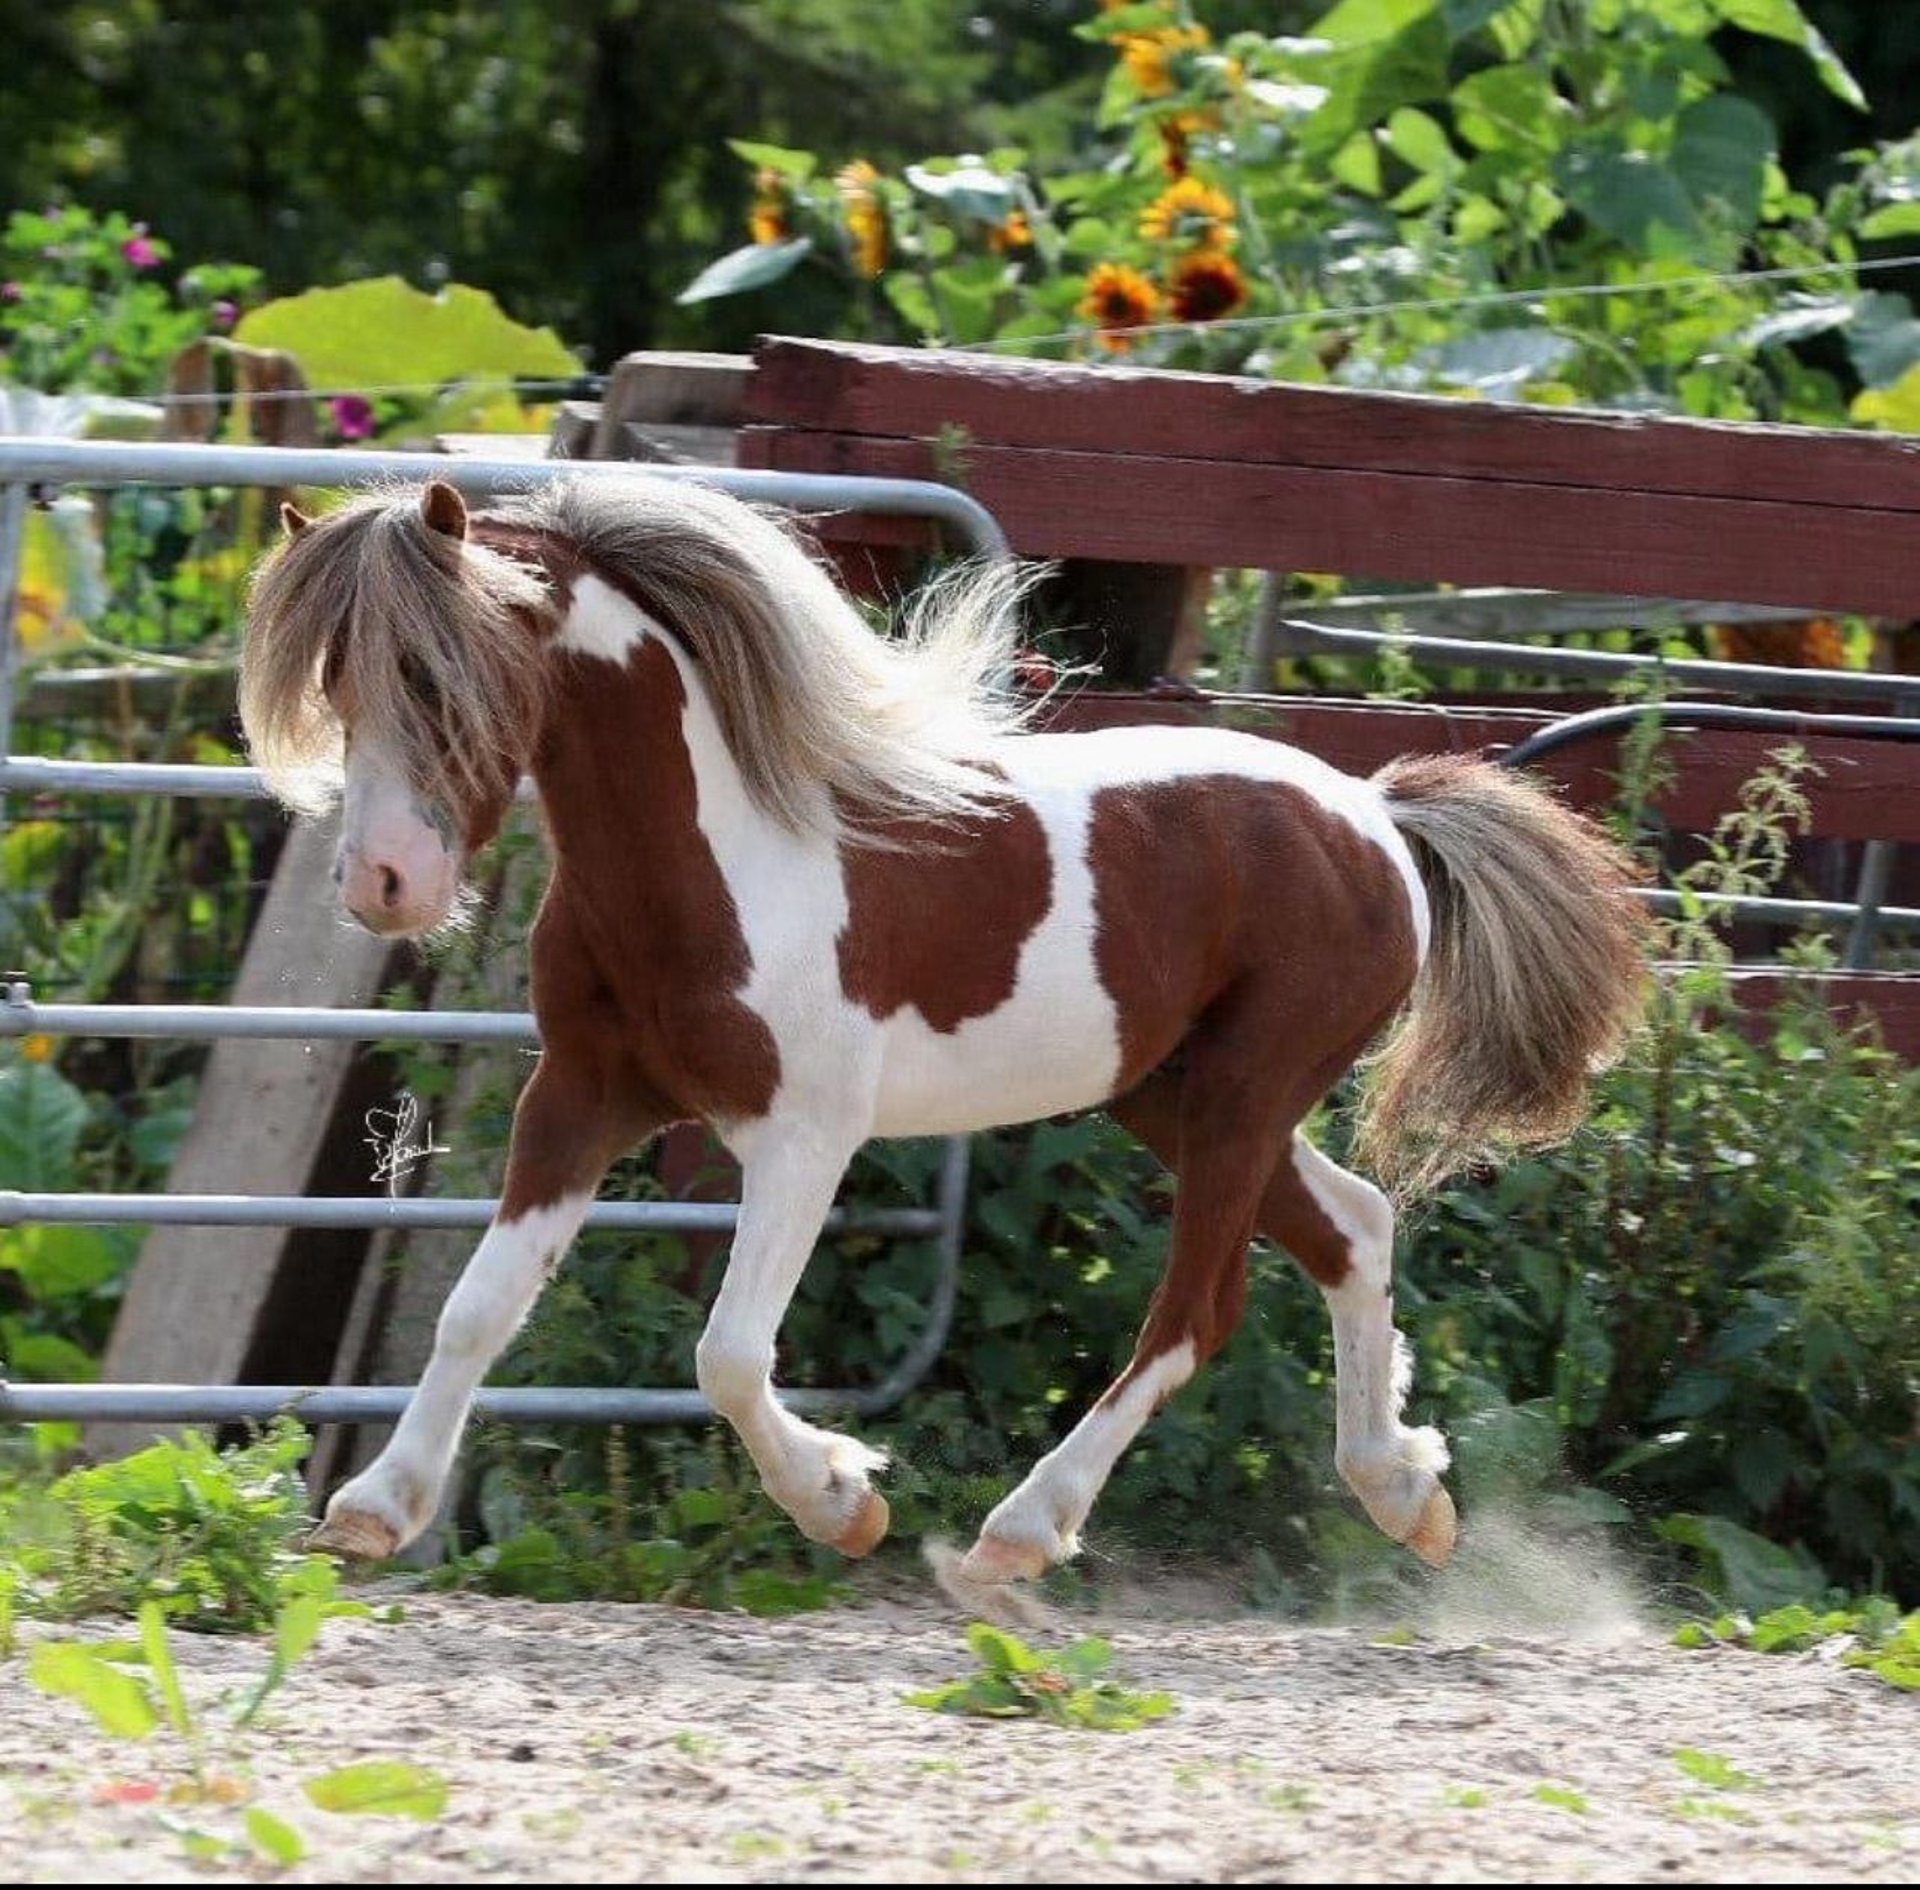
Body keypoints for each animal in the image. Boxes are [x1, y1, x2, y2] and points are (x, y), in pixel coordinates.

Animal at [239, 474, 1648, 1593]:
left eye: (440, 672)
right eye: (337, 683)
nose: (384, 884)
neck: (715, 861)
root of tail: (1376, 815)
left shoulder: (804, 1136)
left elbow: (728, 1353)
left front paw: (844, 1501)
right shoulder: (581, 1098)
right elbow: (479, 1310)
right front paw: (372, 1512)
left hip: (1244, 1095)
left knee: (1197, 1310)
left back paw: (1020, 1533)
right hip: (1176, 1093)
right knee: (1354, 1226)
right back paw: (1406, 1493)